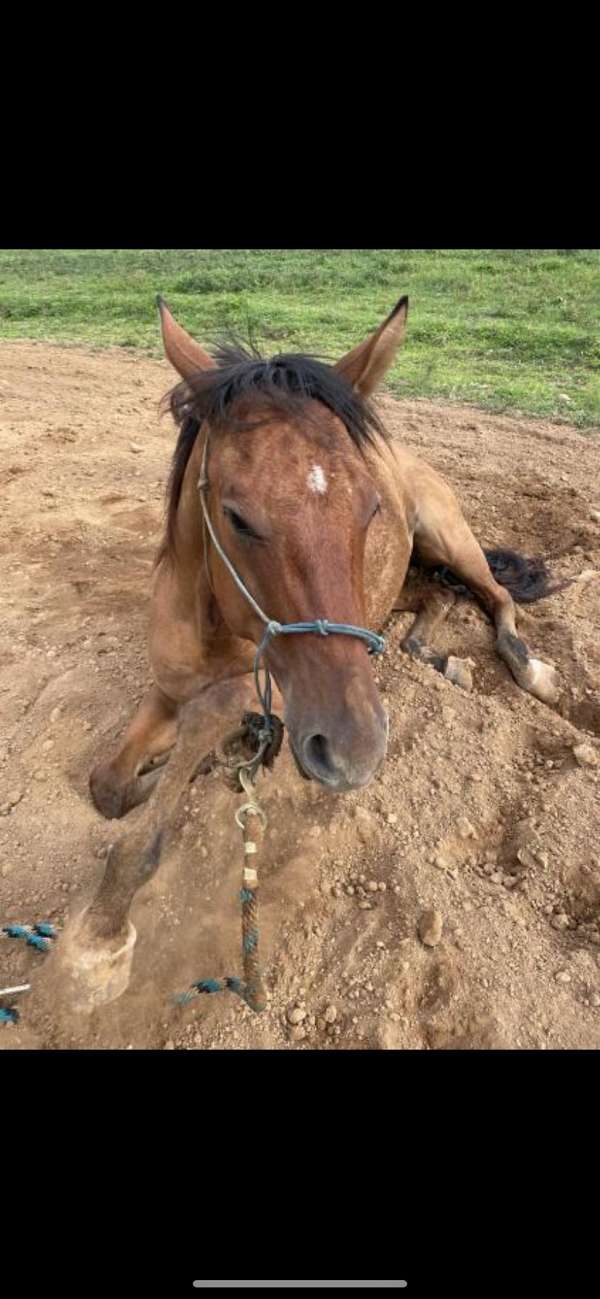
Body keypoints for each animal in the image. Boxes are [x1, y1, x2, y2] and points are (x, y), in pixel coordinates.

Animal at [56, 297, 563, 1013]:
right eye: (236, 516)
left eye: (370, 507)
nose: (356, 750)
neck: (211, 622)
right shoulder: (165, 690)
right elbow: (109, 786)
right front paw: (185, 770)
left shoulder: (263, 689)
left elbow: (207, 726)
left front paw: (98, 937)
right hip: (407, 582)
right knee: (434, 601)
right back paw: (437, 658)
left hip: (448, 536)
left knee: (494, 597)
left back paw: (530, 668)